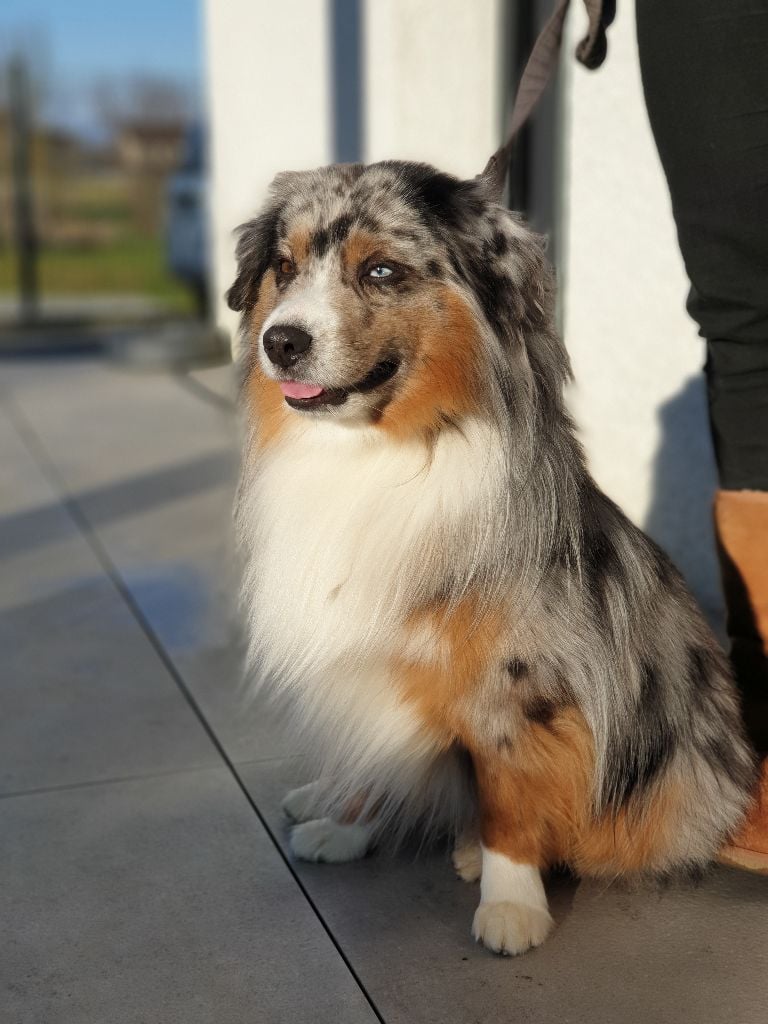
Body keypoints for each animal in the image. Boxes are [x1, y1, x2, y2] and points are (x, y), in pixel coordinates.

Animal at [228, 157, 757, 950]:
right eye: (283, 268)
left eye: (381, 270)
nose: (281, 341)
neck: (380, 451)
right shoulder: (375, 652)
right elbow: (379, 747)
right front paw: (349, 824)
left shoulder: (515, 671)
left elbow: (509, 789)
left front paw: (511, 905)